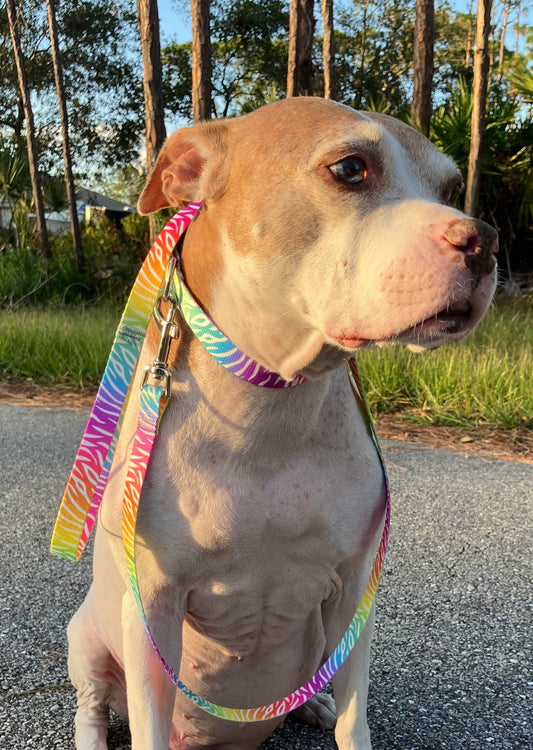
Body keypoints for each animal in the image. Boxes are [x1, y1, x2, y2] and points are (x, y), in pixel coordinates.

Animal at [67, 97, 498, 748]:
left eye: (449, 187)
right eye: (350, 169)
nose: (486, 241)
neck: (272, 407)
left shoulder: (354, 595)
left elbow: (354, 716)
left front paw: (338, 715)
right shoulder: (153, 613)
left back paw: (313, 704)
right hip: (87, 633)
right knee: (92, 702)